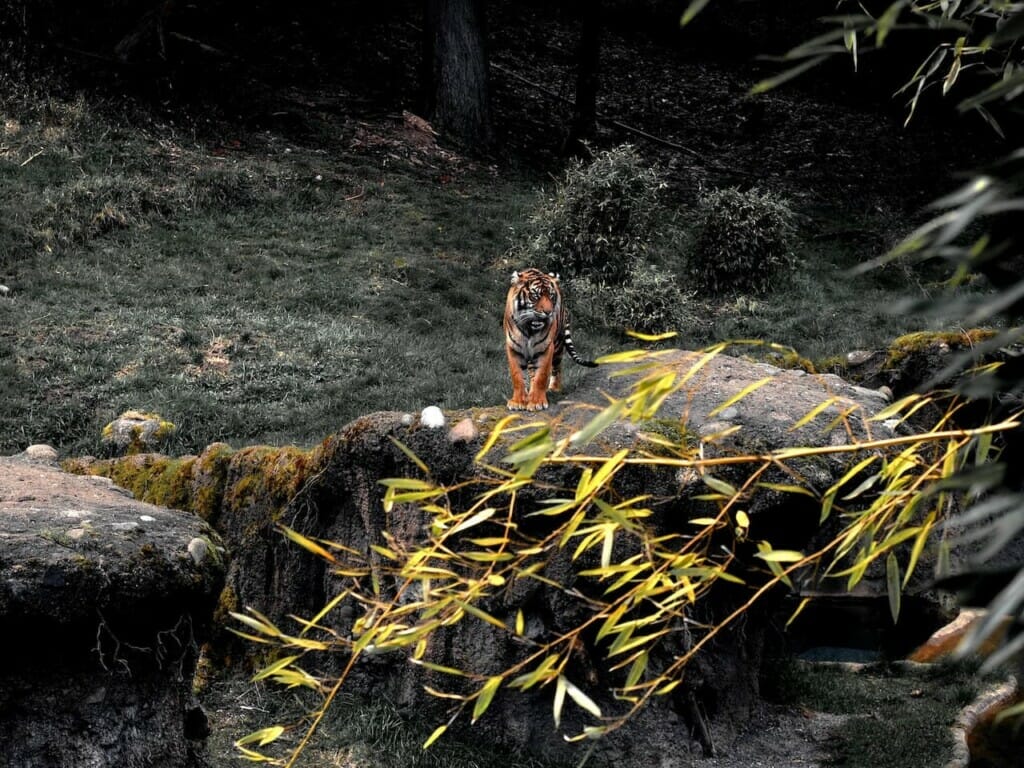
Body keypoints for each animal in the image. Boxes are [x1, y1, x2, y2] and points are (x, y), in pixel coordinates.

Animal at [501, 270, 598, 415]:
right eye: (535, 296)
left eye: (551, 296)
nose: (548, 312)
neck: (529, 329)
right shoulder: (514, 348)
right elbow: (517, 376)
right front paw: (518, 401)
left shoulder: (545, 348)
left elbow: (541, 376)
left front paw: (537, 402)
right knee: (532, 373)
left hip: (557, 345)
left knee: (556, 368)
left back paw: (554, 388)